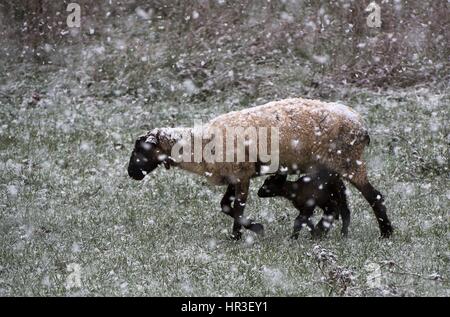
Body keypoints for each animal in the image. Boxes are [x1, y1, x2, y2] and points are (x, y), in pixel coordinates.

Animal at [128, 97, 392, 238]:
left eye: (141, 149)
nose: (131, 173)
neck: (199, 145)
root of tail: (362, 126)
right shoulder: (234, 177)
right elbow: (225, 206)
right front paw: (253, 229)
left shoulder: (242, 175)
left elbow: (237, 208)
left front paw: (241, 234)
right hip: (332, 168)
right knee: (341, 202)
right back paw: (326, 231)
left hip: (350, 162)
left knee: (374, 196)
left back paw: (386, 233)